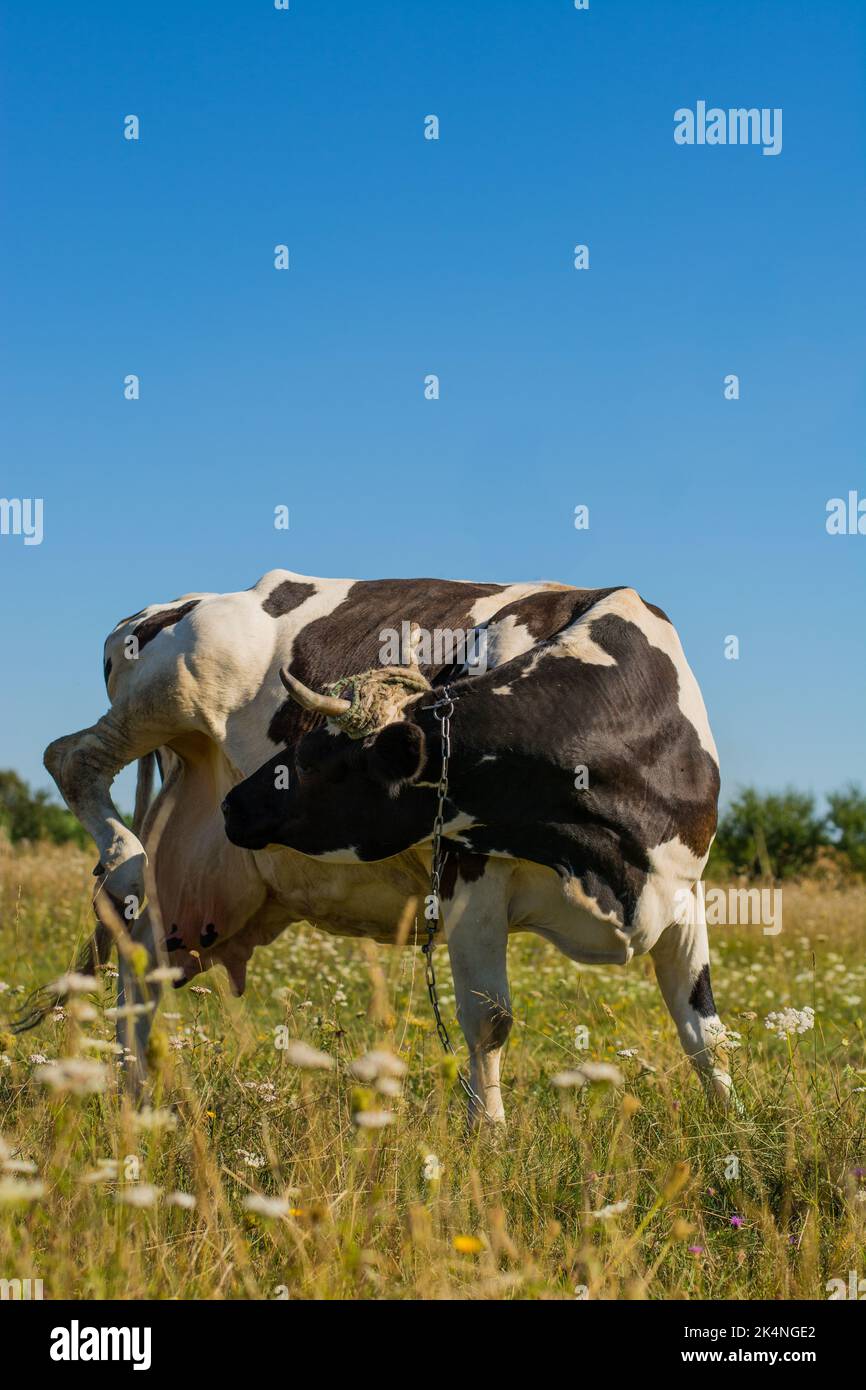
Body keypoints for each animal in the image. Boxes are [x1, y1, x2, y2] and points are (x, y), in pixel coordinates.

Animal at [24, 569, 731, 1123]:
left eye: (323, 757)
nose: (238, 805)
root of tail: (172, 604)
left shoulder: (682, 890)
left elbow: (704, 1031)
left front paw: (732, 1131)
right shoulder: (469, 874)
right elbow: (490, 1021)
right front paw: (490, 1139)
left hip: (196, 857)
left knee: (141, 956)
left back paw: (136, 1097)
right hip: (169, 691)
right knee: (72, 760)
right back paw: (122, 861)